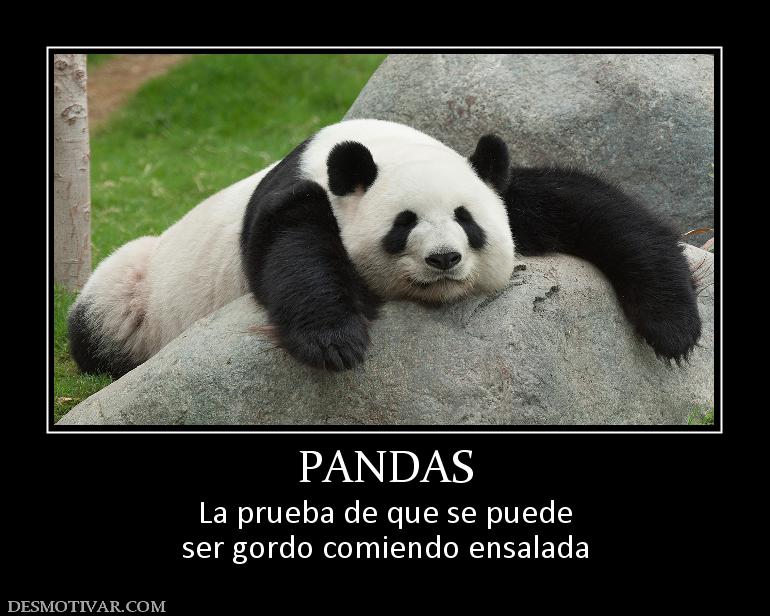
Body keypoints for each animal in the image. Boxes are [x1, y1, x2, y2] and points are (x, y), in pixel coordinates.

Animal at [68, 119, 701, 376]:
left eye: (467, 222)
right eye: (404, 224)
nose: (444, 259)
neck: (377, 146)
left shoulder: (493, 182)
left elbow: (596, 209)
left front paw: (675, 328)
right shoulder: (298, 196)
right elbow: (292, 252)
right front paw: (335, 341)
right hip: (137, 288)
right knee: (102, 316)